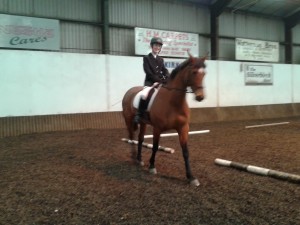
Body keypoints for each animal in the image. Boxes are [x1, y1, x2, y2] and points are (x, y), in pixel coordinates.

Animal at [122, 53, 206, 185]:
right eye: (194, 72)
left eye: (204, 74)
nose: (200, 97)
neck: (173, 102)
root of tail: (129, 91)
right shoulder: (157, 128)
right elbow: (155, 146)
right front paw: (152, 166)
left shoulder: (183, 128)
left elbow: (186, 152)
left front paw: (191, 177)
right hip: (128, 119)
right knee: (131, 137)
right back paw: (134, 157)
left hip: (143, 122)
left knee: (140, 139)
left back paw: (139, 159)